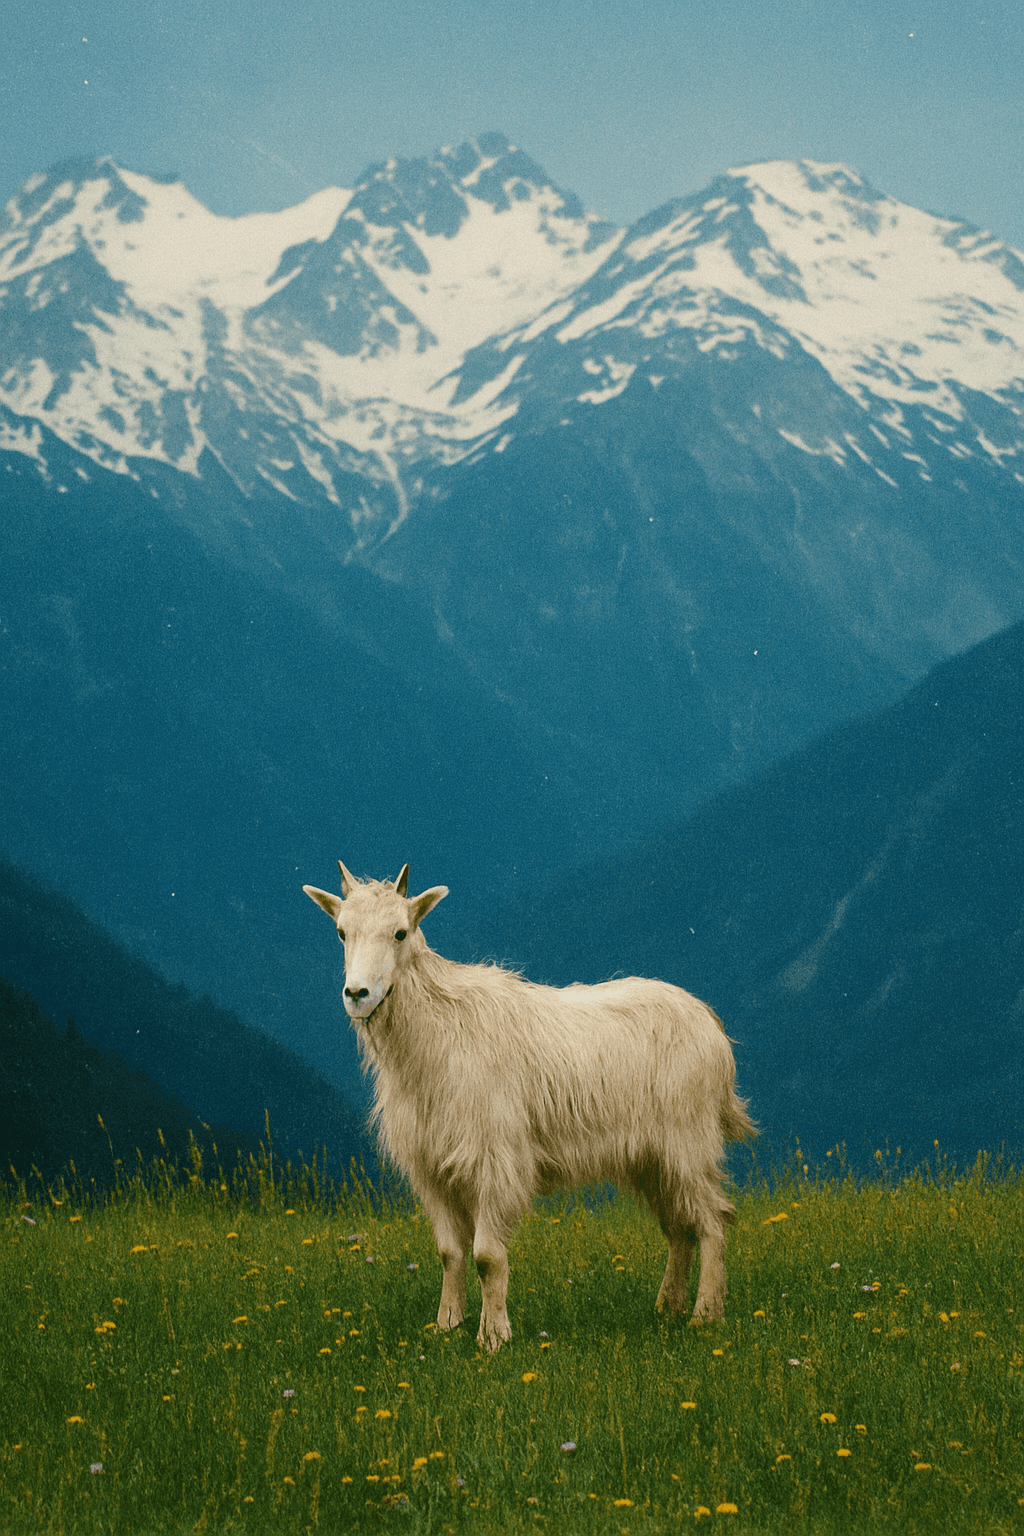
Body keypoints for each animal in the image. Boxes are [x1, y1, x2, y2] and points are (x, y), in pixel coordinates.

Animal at [303, 861, 754, 1351]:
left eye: (401, 932)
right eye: (341, 932)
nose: (358, 994)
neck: (437, 1033)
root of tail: (713, 1027)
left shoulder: (494, 1158)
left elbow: (486, 1257)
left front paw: (493, 1336)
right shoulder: (430, 1166)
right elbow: (449, 1253)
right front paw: (447, 1325)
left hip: (688, 1141)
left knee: (712, 1221)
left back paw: (704, 1315)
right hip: (651, 1158)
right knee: (679, 1228)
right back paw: (668, 1306)